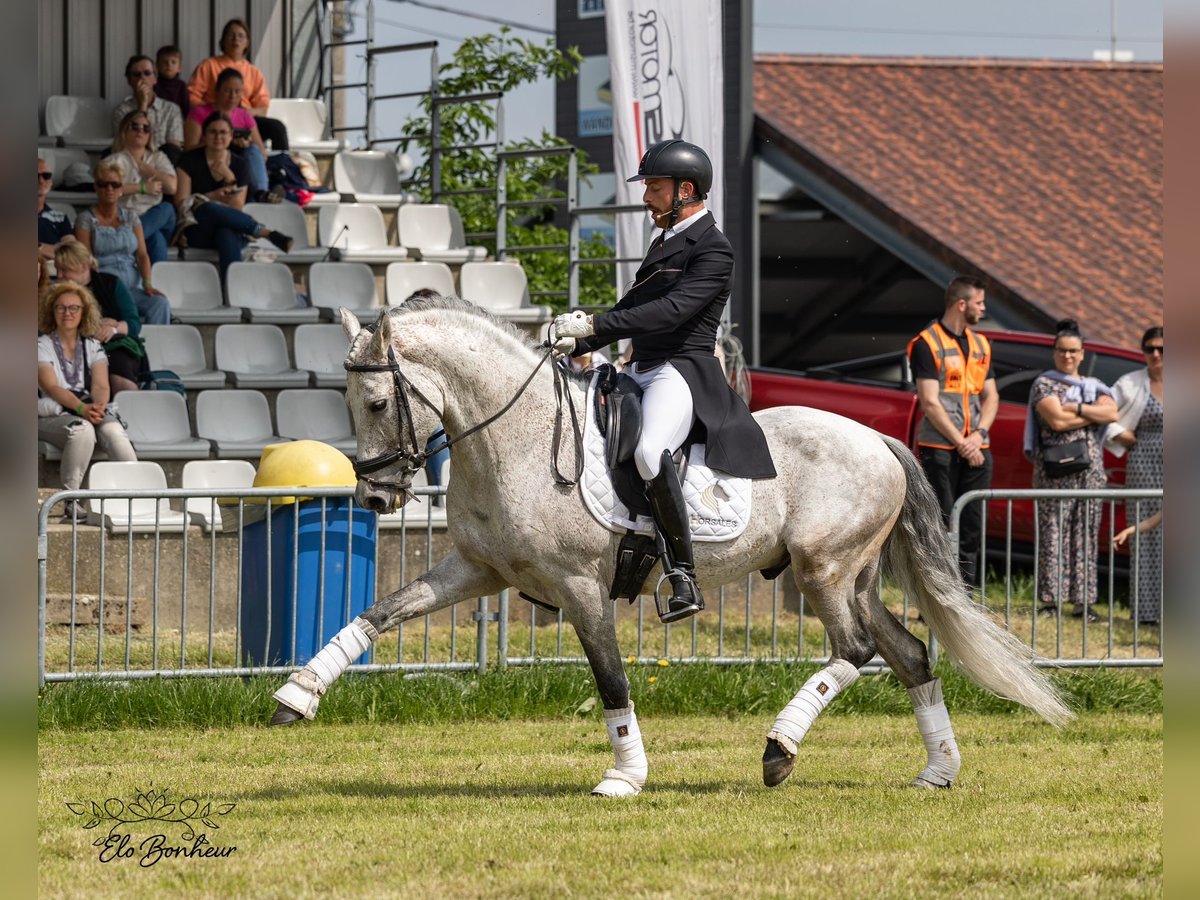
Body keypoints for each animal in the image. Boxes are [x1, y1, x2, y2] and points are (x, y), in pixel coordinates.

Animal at [272, 301, 1070, 796]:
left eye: (378, 403)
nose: (377, 499)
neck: (515, 438)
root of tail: (877, 438)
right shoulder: (474, 569)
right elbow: (381, 612)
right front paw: (297, 694)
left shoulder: (580, 587)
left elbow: (610, 680)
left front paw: (624, 776)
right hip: (855, 576)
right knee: (906, 654)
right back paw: (939, 770)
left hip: (824, 571)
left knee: (857, 650)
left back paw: (780, 749)